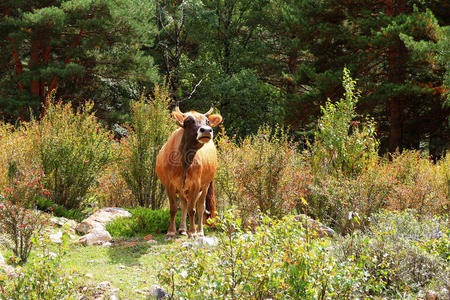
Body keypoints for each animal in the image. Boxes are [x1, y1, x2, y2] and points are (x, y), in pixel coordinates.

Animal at [156, 106, 223, 238]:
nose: (206, 130)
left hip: (205, 185)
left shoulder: (196, 184)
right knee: (183, 204)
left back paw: (200, 231)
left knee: (201, 206)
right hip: (182, 189)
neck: (184, 162)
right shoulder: (169, 185)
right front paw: (171, 232)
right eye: (188, 121)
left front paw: (192, 232)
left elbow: (193, 209)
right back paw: (182, 229)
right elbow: (173, 208)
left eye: (207, 121)